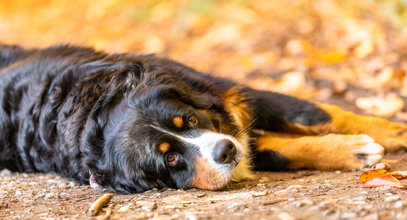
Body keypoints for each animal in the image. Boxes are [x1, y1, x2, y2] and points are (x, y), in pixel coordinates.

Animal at [0, 43, 406, 193]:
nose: (225, 151)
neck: (93, 112)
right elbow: (279, 149)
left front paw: (391, 131)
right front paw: (354, 151)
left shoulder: (227, 93)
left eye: (189, 121)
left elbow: (316, 114)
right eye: (170, 158)